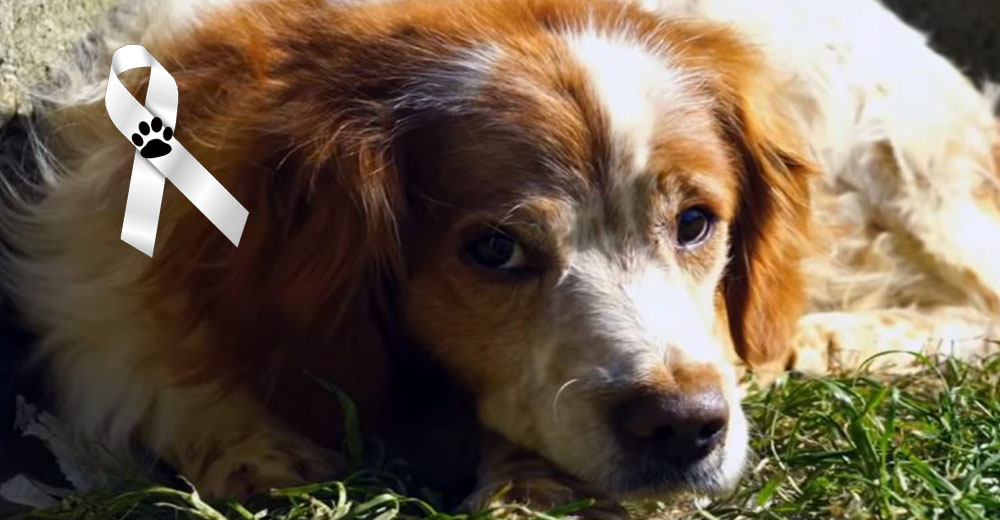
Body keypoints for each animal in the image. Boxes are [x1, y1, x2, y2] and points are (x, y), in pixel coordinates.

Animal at [1, 0, 1000, 512]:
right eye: (494, 250)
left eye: (696, 222)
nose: (685, 427)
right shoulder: (99, 294)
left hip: (900, 154)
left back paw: (827, 339)